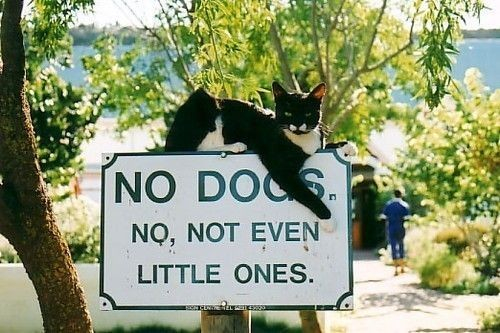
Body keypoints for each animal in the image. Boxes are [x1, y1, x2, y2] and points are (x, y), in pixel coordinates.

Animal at [164, 82, 356, 219]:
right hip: (201, 101)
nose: (297, 124)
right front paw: (328, 219)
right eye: (288, 113)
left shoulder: (317, 146)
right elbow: (304, 192)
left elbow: (325, 146)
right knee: (186, 149)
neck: (300, 139)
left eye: (308, 113)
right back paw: (235, 146)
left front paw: (346, 146)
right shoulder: (280, 167)